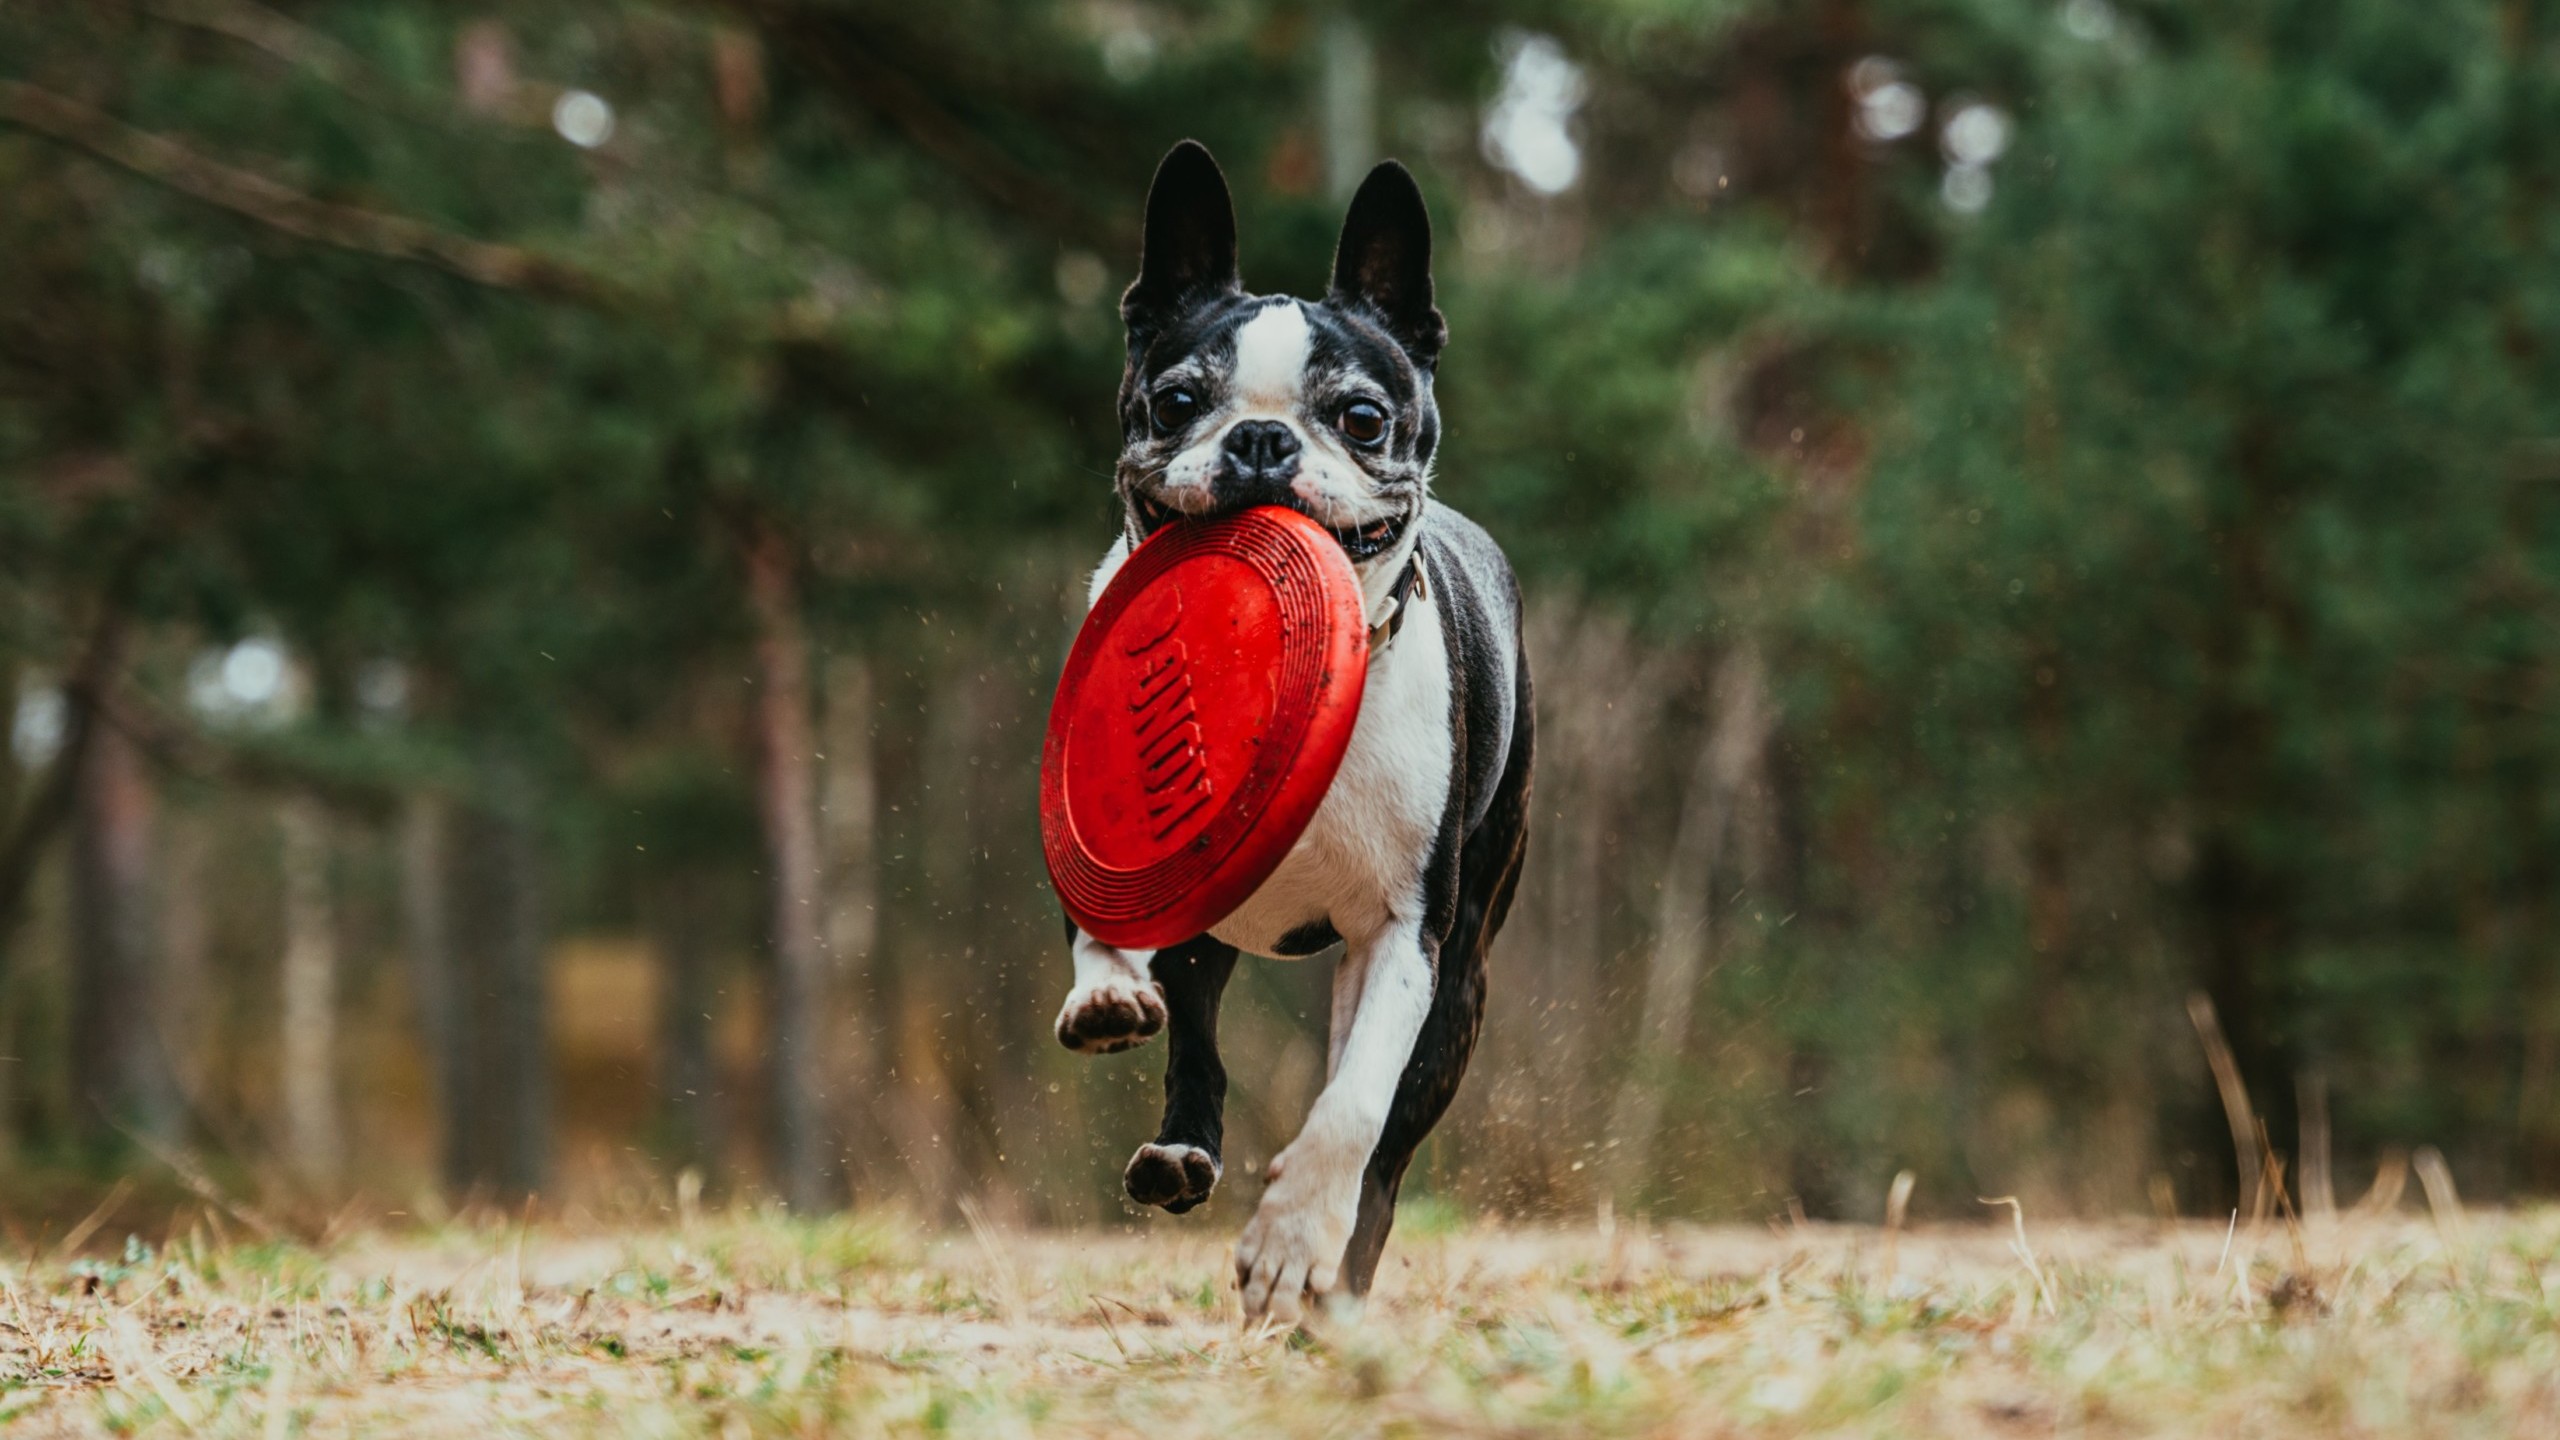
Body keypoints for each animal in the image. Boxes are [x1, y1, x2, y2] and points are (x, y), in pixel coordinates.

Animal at [1044, 140, 1525, 1322]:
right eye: (1176, 401)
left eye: (1361, 419)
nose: (1260, 440)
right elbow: (1100, 923)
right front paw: (1105, 989)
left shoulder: (1407, 935)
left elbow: (1351, 1107)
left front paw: (1293, 1241)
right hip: (1213, 934)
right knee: (1199, 1045)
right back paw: (1179, 1151)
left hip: (1463, 982)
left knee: (1386, 1145)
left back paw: (1336, 1281)